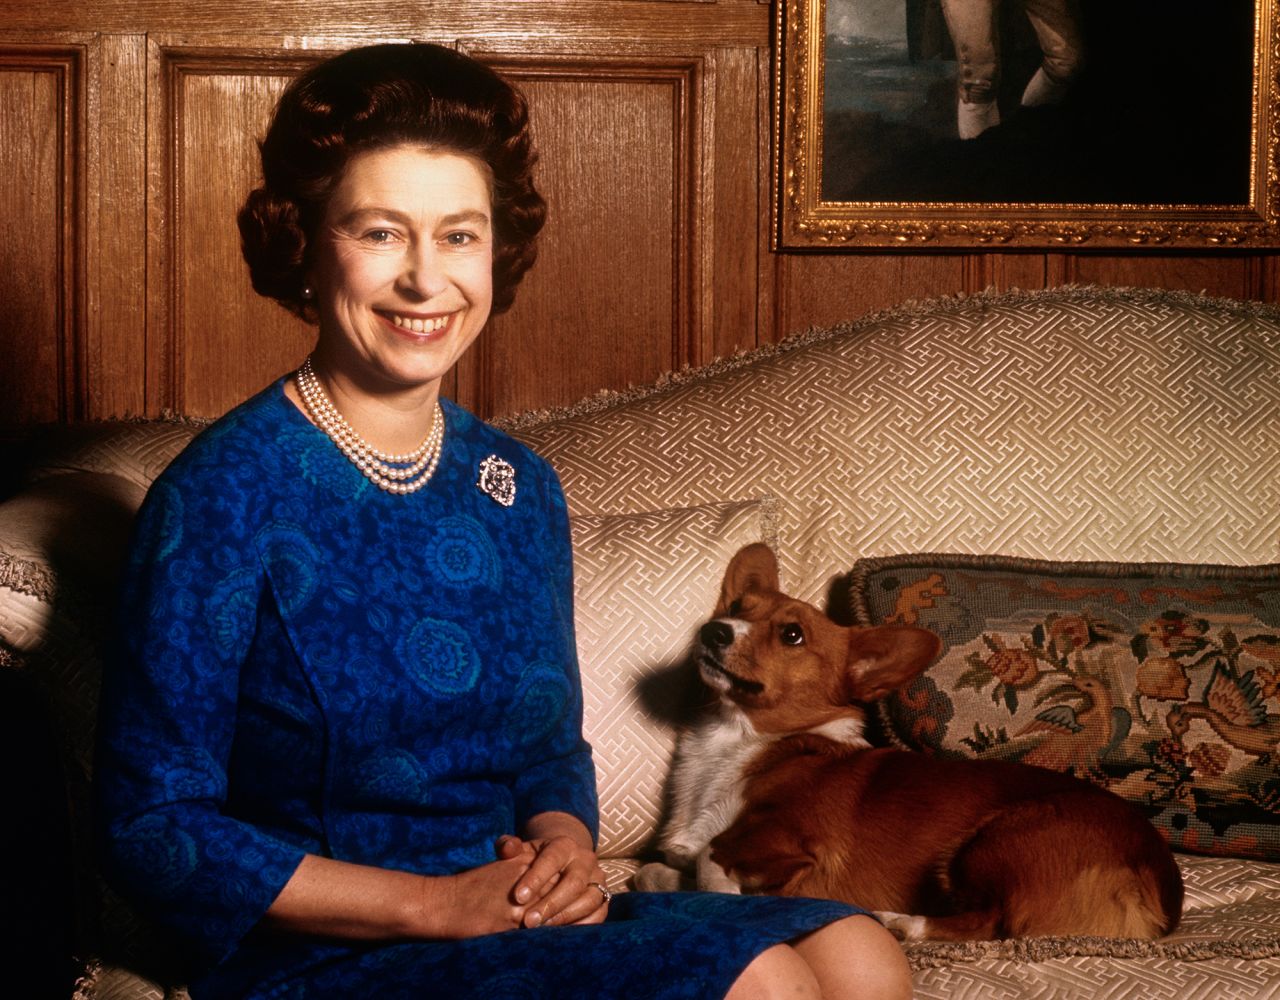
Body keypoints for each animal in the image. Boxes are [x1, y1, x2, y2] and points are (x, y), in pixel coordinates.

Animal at [634, 542, 1182, 942]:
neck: (737, 741)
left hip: (993, 839)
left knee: (991, 922)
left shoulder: (794, 840)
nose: (714, 630)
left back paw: (900, 922)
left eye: (792, 635)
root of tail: (1161, 889)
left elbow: (711, 858)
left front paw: (736, 894)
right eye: (736, 607)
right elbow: (658, 870)